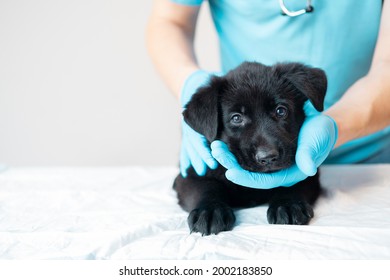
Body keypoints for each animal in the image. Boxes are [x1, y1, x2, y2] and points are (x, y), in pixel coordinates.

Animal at [174, 62, 326, 235]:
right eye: (236, 118)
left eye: (281, 110)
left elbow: (295, 182)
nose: (268, 157)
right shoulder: (189, 174)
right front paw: (210, 211)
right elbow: (206, 187)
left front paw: (288, 204)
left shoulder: (310, 173)